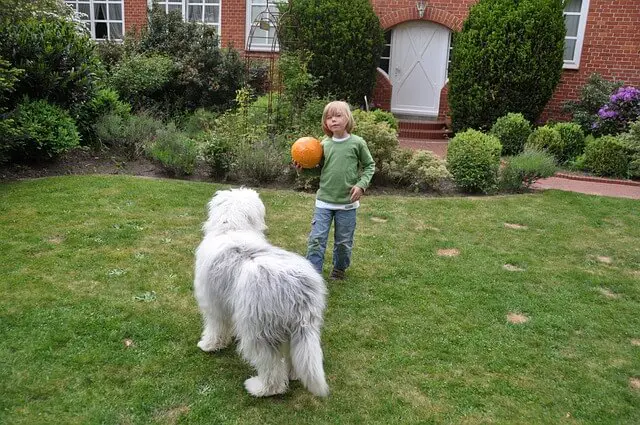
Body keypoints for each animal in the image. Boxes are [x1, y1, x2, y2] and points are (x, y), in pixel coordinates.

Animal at [192, 187, 328, 396]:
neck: (233, 228)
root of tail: (298, 289)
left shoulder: (214, 303)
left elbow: (216, 327)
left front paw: (209, 345)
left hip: (259, 330)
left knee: (271, 368)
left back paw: (259, 388)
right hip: (296, 329)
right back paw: (293, 374)